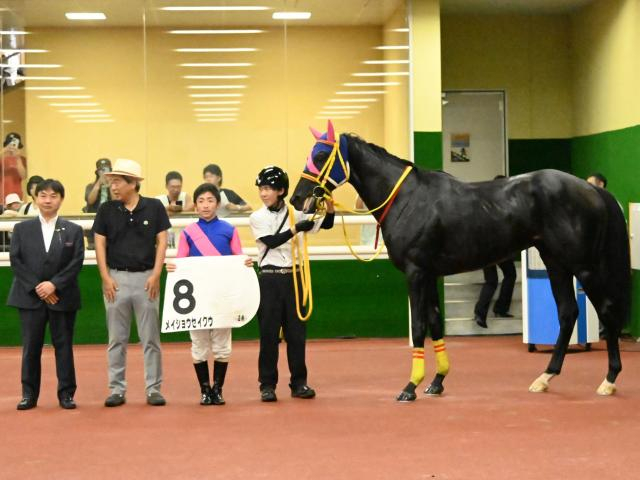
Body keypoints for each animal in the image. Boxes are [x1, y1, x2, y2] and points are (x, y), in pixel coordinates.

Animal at [290, 120, 631, 402]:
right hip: (555, 262)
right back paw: (545, 377)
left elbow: (419, 326)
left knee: (605, 310)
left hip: (583, 266)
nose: (297, 198)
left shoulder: (416, 273)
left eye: (321, 156)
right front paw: (436, 382)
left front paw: (410, 387)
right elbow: (435, 323)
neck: (407, 199)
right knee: (567, 313)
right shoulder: (429, 274)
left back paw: (609, 379)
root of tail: (591, 189)